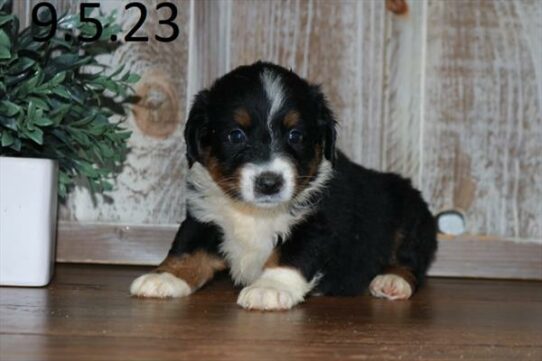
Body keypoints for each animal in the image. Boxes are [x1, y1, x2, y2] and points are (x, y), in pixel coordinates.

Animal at [130, 62, 440, 310]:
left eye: (295, 135)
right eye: (236, 135)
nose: (269, 183)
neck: (255, 213)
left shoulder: (319, 221)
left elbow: (291, 254)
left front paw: (270, 288)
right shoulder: (205, 216)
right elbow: (187, 248)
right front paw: (165, 277)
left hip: (409, 217)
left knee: (411, 261)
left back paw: (391, 281)